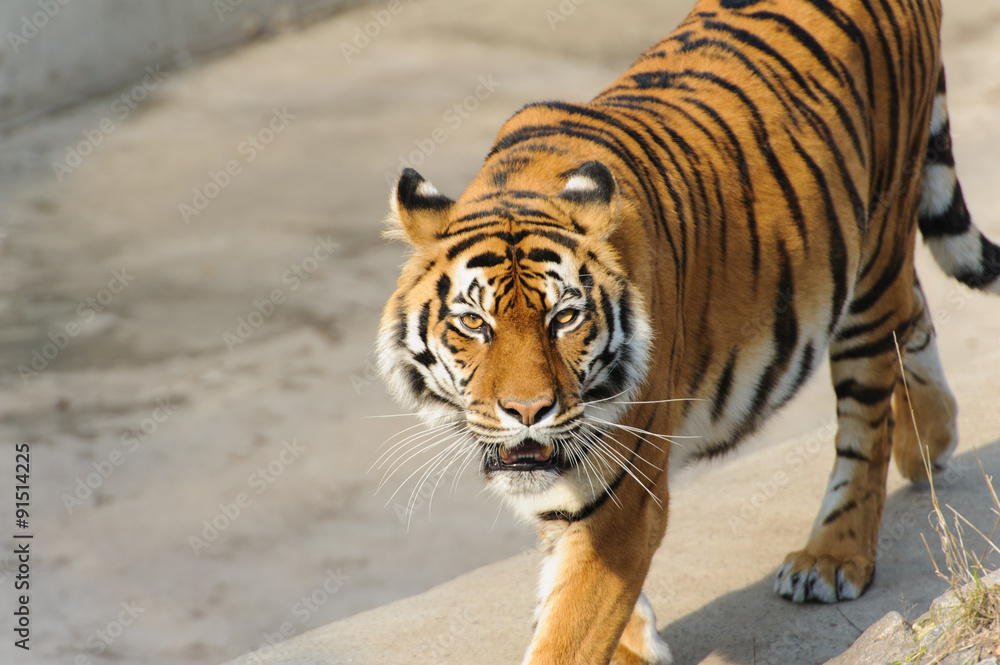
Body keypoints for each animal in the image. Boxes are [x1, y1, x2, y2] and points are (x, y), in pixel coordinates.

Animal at [375, 0, 1000, 663]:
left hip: (873, 251)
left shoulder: (620, 491)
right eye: (474, 322)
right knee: (913, 310)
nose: (527, 412)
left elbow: (570, 627)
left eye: (564, 317)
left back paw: (833, 557)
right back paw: (930, 440)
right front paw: (633, 646)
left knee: (867, 418)